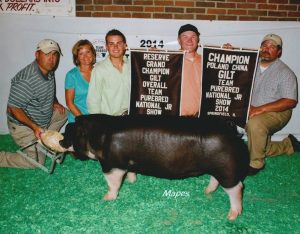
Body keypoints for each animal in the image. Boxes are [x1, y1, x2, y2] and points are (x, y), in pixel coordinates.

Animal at [58, 114, 248, 220]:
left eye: (69, 132)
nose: (60, 140)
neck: (97, 135)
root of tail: (229, 128)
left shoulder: (112, 165)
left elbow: (113, 183)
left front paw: (106, 198)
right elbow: (130, 173)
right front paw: (132, 181)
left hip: (227, 169)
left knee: (237, 187)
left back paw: (232, 216)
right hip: (218, 167)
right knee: (215, 180)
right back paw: (207, 192)